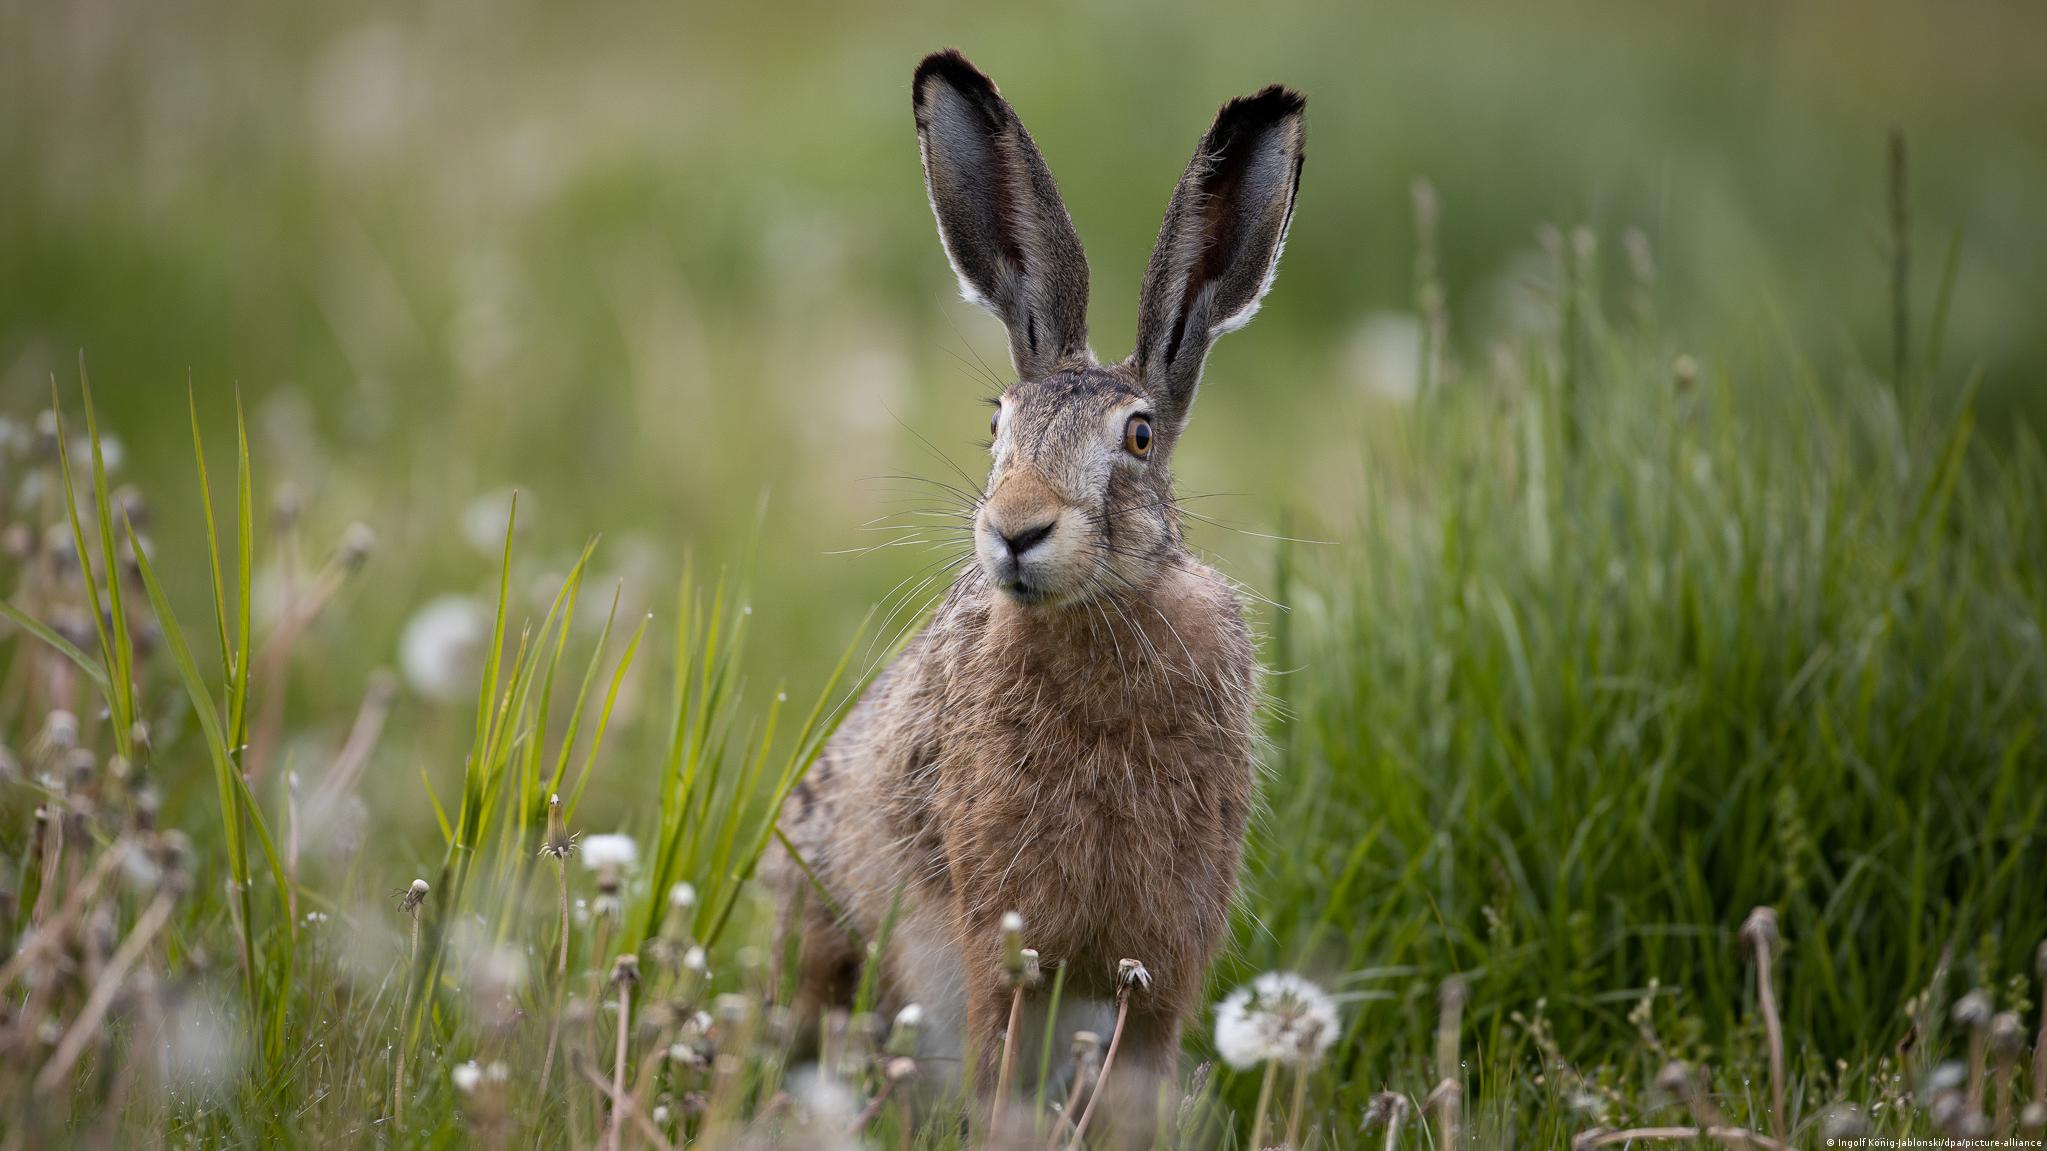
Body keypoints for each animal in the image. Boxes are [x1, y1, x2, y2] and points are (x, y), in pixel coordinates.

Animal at [772, 47, 1305, 1119]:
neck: (1100, 618)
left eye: (1137, 437)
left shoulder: (1164, 956)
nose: (1015, 530)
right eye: (996, 426)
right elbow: (999, 1059)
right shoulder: (1003, 934)